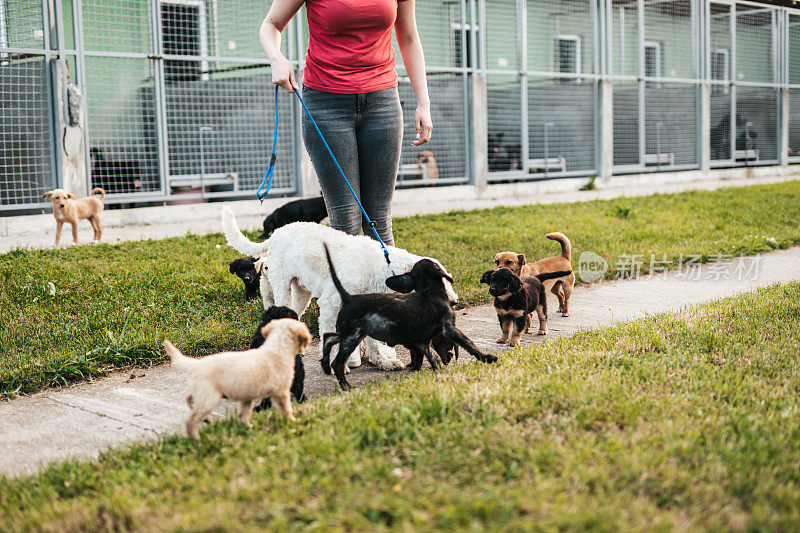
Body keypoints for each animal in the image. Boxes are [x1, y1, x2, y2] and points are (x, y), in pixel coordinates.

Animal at [164, 318, 310, 438]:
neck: (277, 345)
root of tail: (196, 364)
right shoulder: (281, 392)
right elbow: (286, 408)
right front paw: (292, 421)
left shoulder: (247, 397)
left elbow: (244, 414)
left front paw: (247, 427)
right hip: (211, 397)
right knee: (191, 421)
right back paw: (197, 439)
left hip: (203, 392)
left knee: (190, 400)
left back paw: (207, 419)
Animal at [219, 205, 456, 370]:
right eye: (438, 282)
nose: (454, 302)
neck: (380, 266)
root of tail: (276, 233)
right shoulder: (330, 306)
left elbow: (372, 341)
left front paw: (382, 360)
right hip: (281, 286)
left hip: (301, 292)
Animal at [318, 245, 494, 390]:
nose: (454, 301)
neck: (430, 290)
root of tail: (348, 298)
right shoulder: (449, 329)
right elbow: (469, 344)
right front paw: (488, 358)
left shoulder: (421, 342)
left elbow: (433, 357)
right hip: (352, 337)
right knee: (338, 362)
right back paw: (345, 386)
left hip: (349, 333)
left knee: (328, 337)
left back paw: (325, 365)